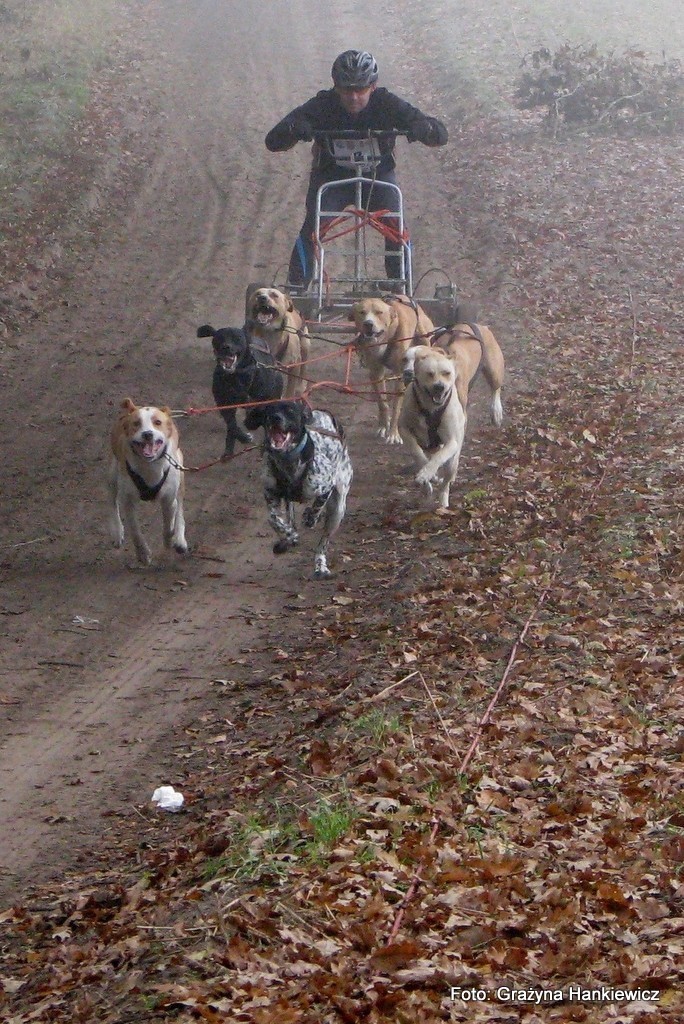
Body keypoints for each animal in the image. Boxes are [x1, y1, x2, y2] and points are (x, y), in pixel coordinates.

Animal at [110, 395, 189, 565]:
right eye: (136, 423)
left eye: (157, 422)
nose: (147, 434)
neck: (149, 467)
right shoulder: (128, 502)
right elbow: (135, 530)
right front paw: (143, 553)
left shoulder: (168, 499)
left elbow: (167, 524)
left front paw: (169, 540)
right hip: (112, 474)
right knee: (111, 501)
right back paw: (117, 531)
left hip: (180, 470)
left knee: (179, 506)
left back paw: (179, 538)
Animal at [196, 325, 284, 458]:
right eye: (219, 337)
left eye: (237, 338)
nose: (226, 347)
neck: (236, 376)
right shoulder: (224, 404)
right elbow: (232, 426)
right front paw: (242, 437)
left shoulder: (262, 400)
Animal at [244, 399, 352, 581]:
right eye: (268, 410)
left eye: (290, 410)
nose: (275, 417)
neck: (288, 461)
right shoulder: (270, 492)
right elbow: (273, 519)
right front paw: (289, 535)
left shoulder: (326, 486)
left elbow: (316, 507)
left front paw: (310, 517)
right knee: (289, 518)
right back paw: (286, 540)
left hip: (338, 510)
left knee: (322, 544)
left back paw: (320, 567)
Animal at [352, 292, 432, 444]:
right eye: (361, 312)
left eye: (379, 312)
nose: (368, 324)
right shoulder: (376, 373)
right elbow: (382, 403)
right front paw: (384, 426)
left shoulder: (400, 375)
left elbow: (396, 407)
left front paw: (394, 434)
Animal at [397, 348, 466, 512]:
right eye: (429, 373)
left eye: (447, 373)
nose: (439, 386)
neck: (430, 409)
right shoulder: (403, 429)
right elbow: (417, 453)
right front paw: (426, 475)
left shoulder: (451, 441)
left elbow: (439, 457)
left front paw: (427, 473)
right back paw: (428, 485)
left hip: (453, 462)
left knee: (446, 481)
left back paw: (443, 501)